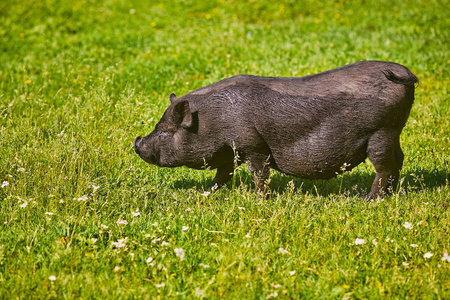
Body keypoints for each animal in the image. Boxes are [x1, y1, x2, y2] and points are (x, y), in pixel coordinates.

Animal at [134, 61, 418, 198]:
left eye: (164, 132)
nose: (136, 143)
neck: (211, 119)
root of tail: (405, 73)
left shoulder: (252, 145)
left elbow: (260, 175)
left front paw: (260, 199)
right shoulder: (230, 152)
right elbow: (222, 175)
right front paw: (206, 194)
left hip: (382, 133)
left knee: (385, 167)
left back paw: (368, 200)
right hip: (394, 133)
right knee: (399, 159)